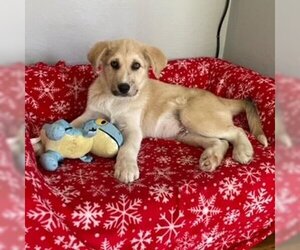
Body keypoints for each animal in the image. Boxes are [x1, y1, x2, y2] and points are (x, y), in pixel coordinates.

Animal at [72, 39, 268, 184]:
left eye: (136, 66)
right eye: (114, 64)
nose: (124, 87)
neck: (115, 100)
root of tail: (220, 99)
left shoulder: (133, 129)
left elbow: (127, 148)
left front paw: (126, 168)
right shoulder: (89, 114)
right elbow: (73, 123)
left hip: (193, 116)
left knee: (237, 130)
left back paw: (243, 151)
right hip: (185, 134)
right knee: (221, 142)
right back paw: (211, 158)